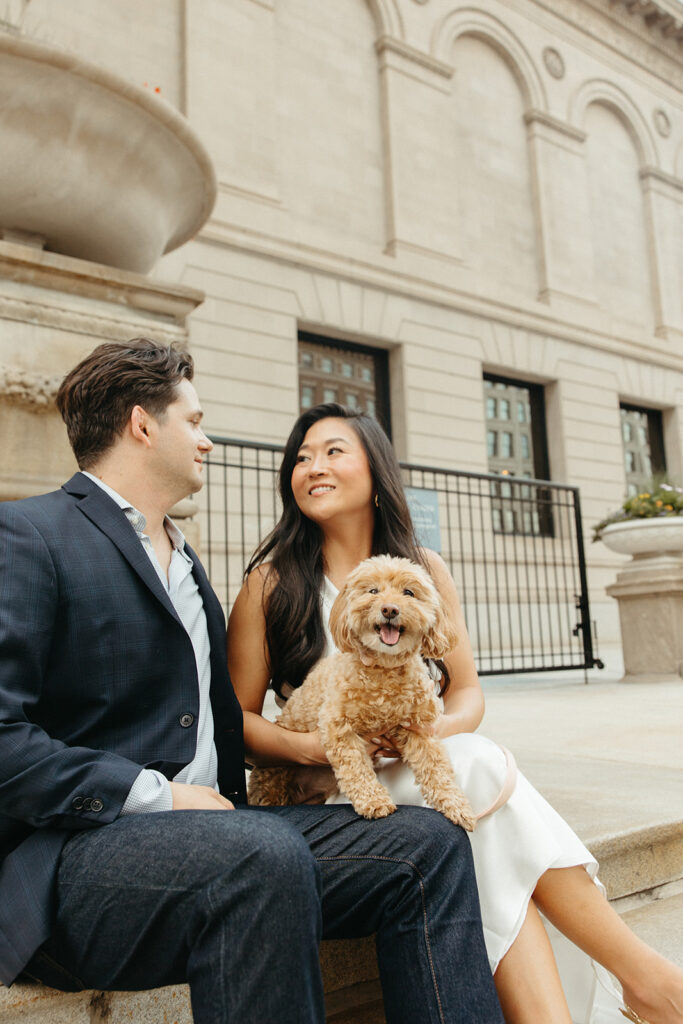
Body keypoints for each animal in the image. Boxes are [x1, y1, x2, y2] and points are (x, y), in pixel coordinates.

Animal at [248, 552, 479, 831]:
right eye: (373, 591)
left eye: (409, 592)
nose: (390, 609)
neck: (384, 669)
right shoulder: (339, 727)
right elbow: (355, 766)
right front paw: (374, 801)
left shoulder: (419, 729)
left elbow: (436, 768)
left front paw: (456, 805)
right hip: (273, 775)